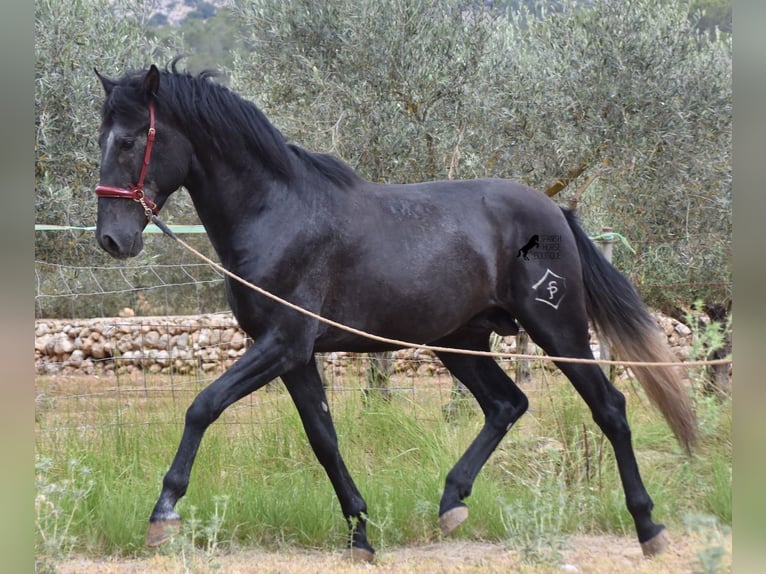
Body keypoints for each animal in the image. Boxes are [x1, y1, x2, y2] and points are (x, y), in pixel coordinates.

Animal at [90, 63, 696, 564]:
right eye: (102, 139)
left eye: (129, 139)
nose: (112, 240)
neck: (277, 214)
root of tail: (554, 210)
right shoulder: (296, 356)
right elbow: (324, 440)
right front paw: (360, 534)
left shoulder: (282, 342)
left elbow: (202, 406)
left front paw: (163, 513)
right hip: (463, 341)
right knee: (507, 404)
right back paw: (452, 503)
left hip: (557, 328)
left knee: (610, 409)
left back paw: (649, 528)